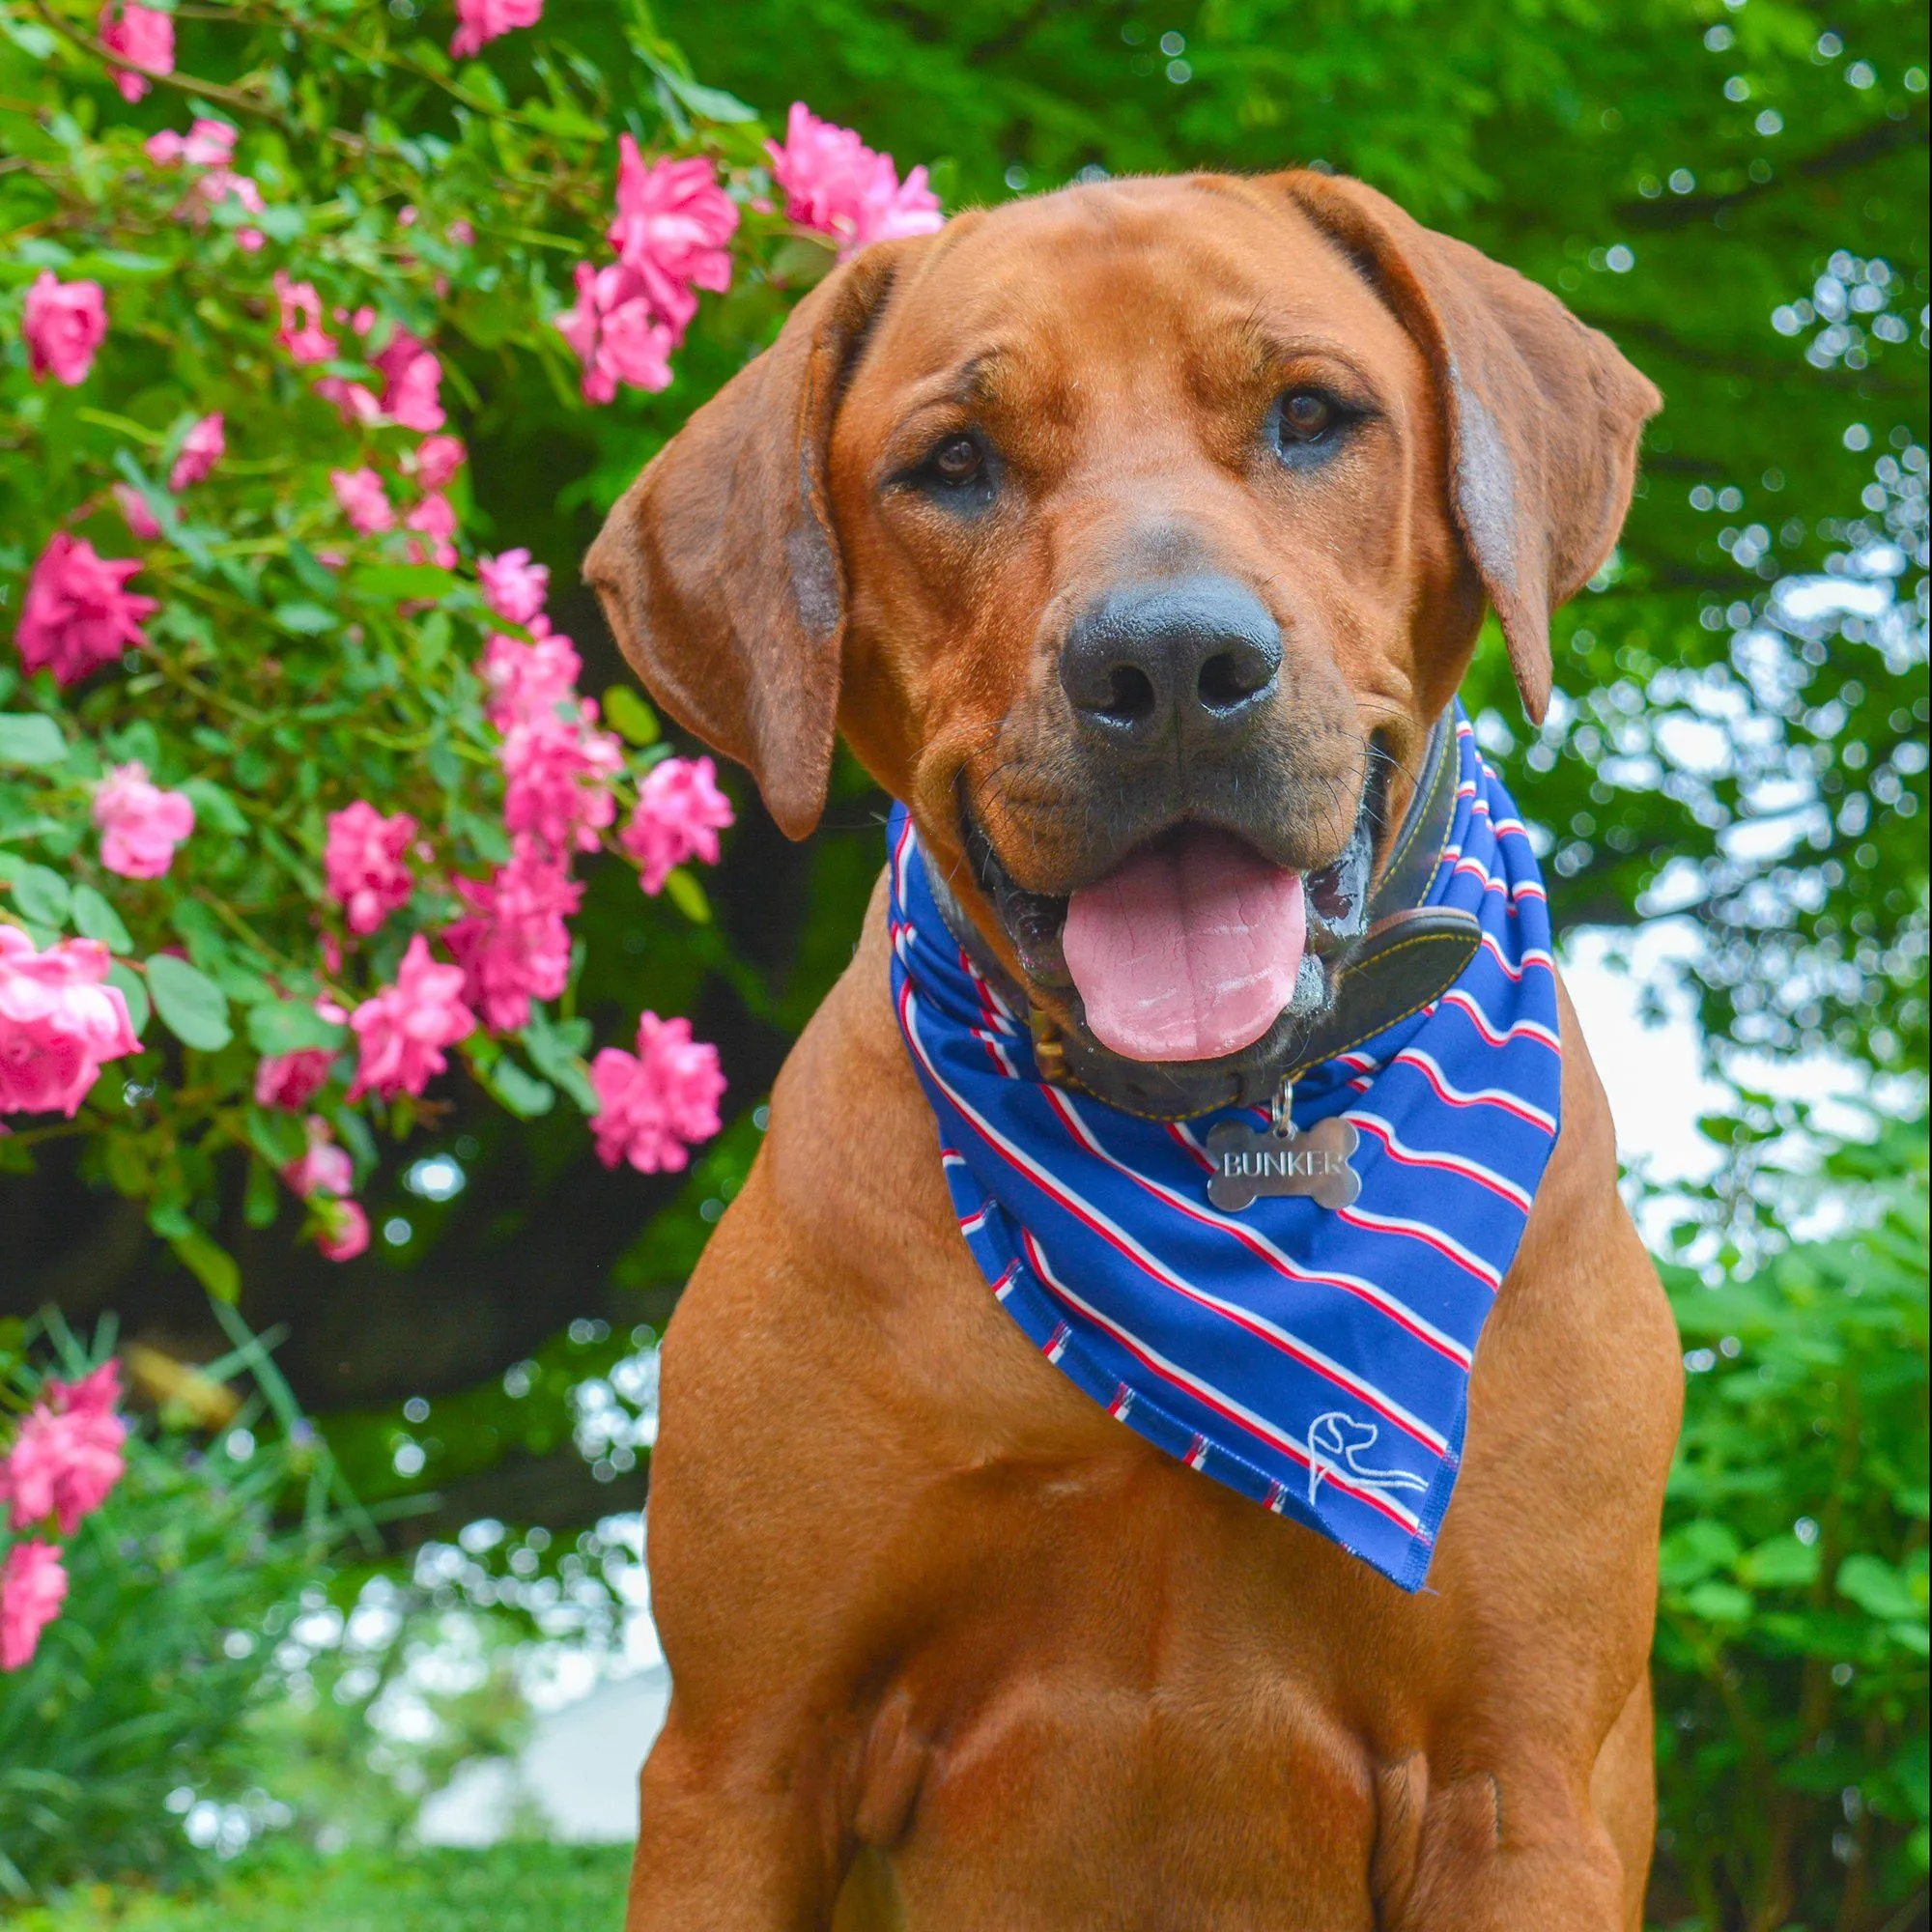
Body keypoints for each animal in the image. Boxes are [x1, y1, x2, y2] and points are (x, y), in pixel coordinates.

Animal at [583, 170, 1677, 1932]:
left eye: (1312, 416)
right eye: (953, 462)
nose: (1168, 665)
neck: (1201, 1143)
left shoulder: (1520, 1792)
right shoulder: (741, 1761)